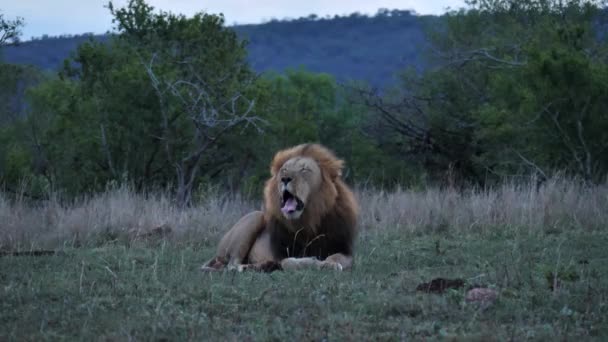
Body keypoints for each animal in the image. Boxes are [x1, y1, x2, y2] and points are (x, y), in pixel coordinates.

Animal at [202, 144, 358, 272]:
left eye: (304, 169)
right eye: (284, 169)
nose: (285, 178)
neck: (308, 221)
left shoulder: (343, 249)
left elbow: (337, 258)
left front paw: (330, 264)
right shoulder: (282, 253)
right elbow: (289, 262)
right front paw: (315, 261)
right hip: (255, 217)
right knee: (232, 265)